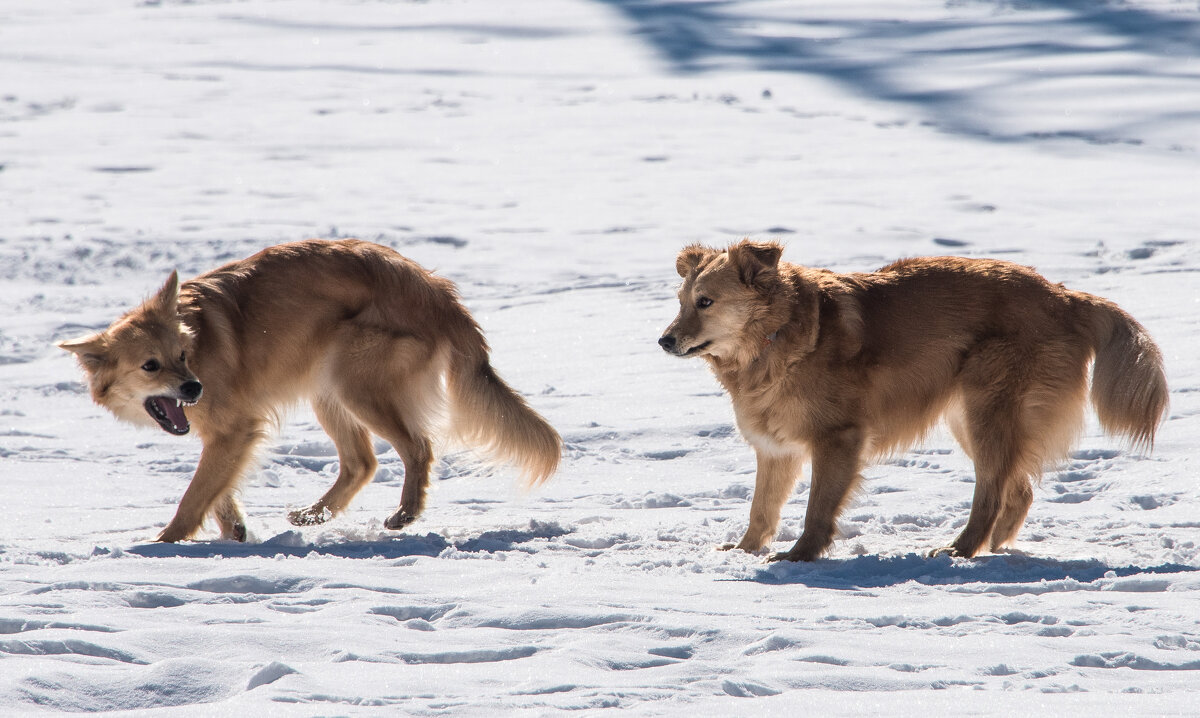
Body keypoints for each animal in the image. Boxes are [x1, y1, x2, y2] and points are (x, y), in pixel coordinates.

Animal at [57, 238, 561, 542]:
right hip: (328, 390)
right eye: (151, 365)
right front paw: (234, 534)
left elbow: (196, 494)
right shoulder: (226, 439)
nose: (194, 388)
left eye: (183, 355)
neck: (199, 335)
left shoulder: (236, 429)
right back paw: (316, 515)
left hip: (355, 385)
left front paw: (164, 544)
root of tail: (435, 288)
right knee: (362, 462)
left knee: (418, 447)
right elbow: (219, 493)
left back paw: (405, 513)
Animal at [662, 242, 1166, 561]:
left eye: (705, 302)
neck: (779, 335)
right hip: (968, 416)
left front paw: (799, 556)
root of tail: (1064, 295)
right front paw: (744, 550)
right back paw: (992, 547)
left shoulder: (838, 439)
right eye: (682, 301)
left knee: (992, 492)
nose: (664, 340)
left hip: (986, 410)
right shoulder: (776, 448)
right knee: (1018, 490)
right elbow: (761, 508)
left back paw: (961, 549)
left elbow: (818, 508)